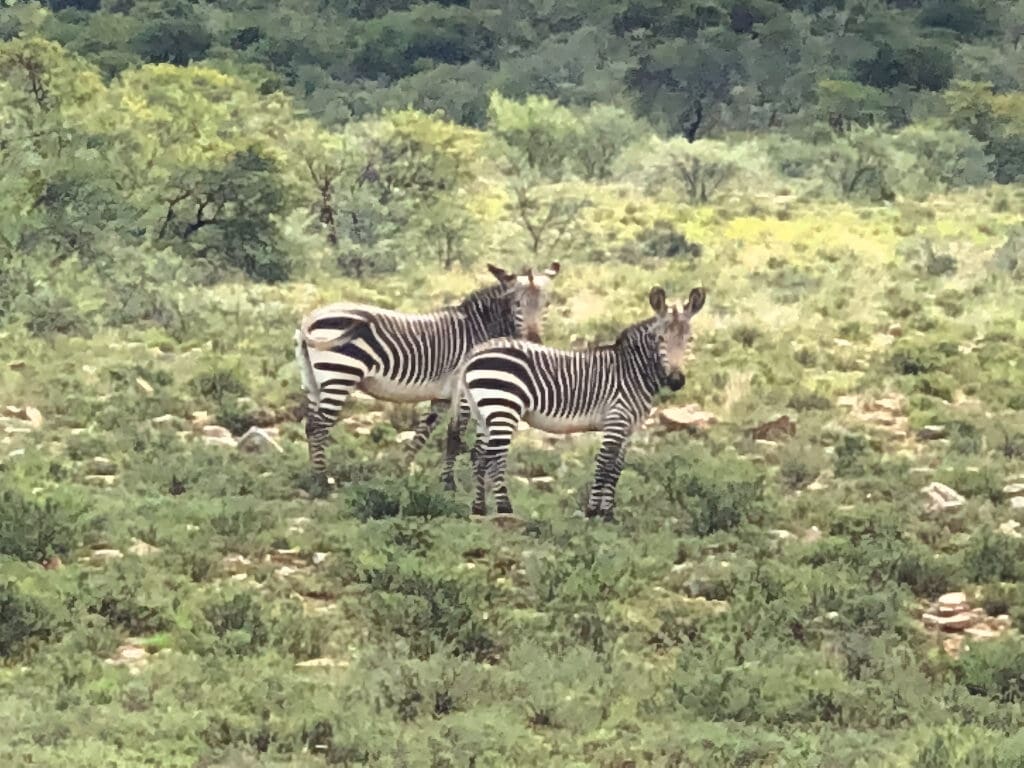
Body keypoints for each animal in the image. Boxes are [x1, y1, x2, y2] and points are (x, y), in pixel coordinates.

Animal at [292, 262, 565, 483]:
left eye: (547, 305)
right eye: (517, 304)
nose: (535, 341)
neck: (480, 328)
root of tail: (311, 316)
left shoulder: (442, 397)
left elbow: (423, 435)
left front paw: (401, 472)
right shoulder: (463, 395)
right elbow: (455, 438)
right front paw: (451, 486)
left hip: (313, 382)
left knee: (310, 425)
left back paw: (313, 476)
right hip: (339, 376)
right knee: (320, 426)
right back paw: (322, 481)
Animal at [446, 286, 704, 520]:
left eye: (689, 339)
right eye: (660, 339)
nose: (676, 380)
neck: (632, 370)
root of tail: (476, 351)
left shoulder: (628, 428)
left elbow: (616, 470)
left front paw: (608, 514)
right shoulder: (616, 420)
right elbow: (604, 465)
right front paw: (593, 512)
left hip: (484, 412)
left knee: (479, 456)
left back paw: (479, 509)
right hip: (503, 407)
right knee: (494, 458)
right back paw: (504, 509)